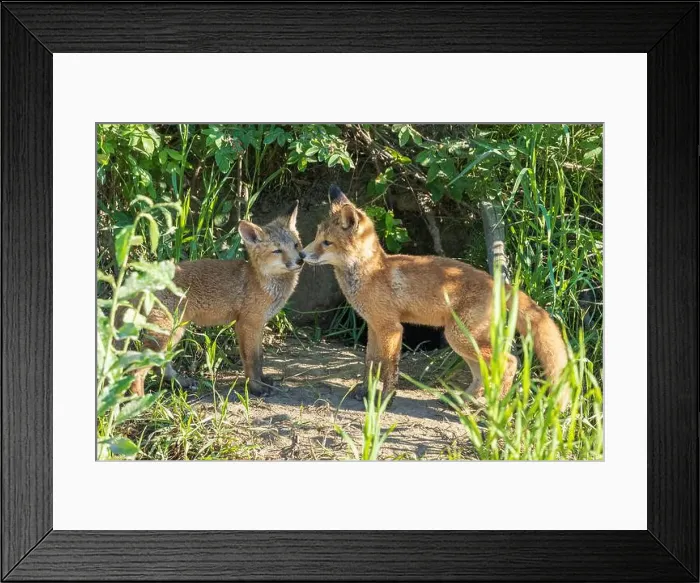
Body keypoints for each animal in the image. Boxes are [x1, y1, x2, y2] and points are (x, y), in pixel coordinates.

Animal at [126, 201, 305, 397]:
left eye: (296, 245)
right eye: (277, 251)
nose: (300, 260)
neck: (261, 281)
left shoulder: (258, 325)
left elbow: (260, 358)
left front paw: (263, 380)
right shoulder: (247, 324)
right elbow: (252, 361)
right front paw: (256, 387)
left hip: (176, 331)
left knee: (160, 366)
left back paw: (180, 382)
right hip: (166, 332)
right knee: (137, 369)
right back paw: (139, 399)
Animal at [302, 185, 571, 410]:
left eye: (327, 243)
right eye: (316, 237)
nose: (301, 255)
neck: (371, 273)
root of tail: (497, 282)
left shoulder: (392, 329)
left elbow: (389, 368)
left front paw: (387, 399)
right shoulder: (374, 327)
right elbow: (370, 364)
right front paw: (364, 391)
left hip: (460, 337)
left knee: (510, 361)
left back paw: (498, 405)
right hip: (461, 341)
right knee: (481, 373)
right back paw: (464, 400)